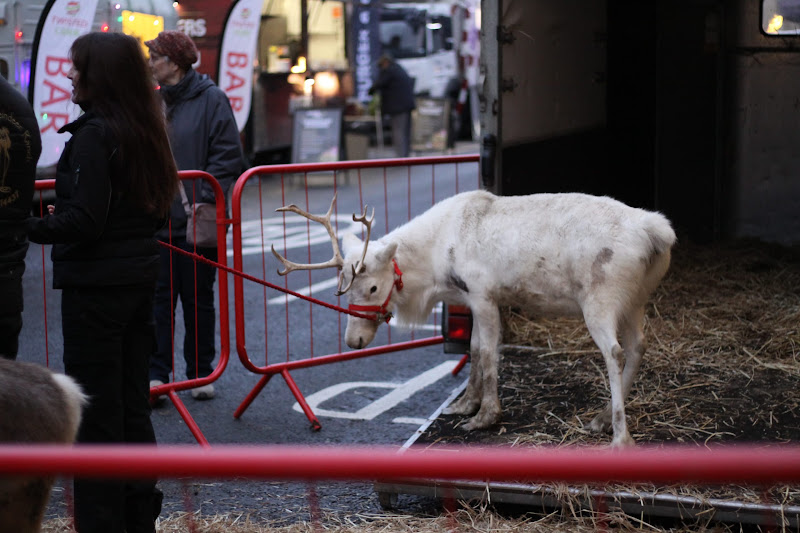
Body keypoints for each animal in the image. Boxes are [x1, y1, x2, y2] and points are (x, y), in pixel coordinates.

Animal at [271, 189, 676, 447]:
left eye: (371, 287)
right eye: (342, 287)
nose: (353, 340)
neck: (433, 266)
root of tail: (658, 232)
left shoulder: (483, 294)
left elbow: (487, 353)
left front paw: (485, 416)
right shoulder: (470, 298)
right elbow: (474, 347)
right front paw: (465, 403)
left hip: (601, 299)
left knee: (614, 352)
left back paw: (619, 436)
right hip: (635, 299)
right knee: (638, 347)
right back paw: (602, 418)